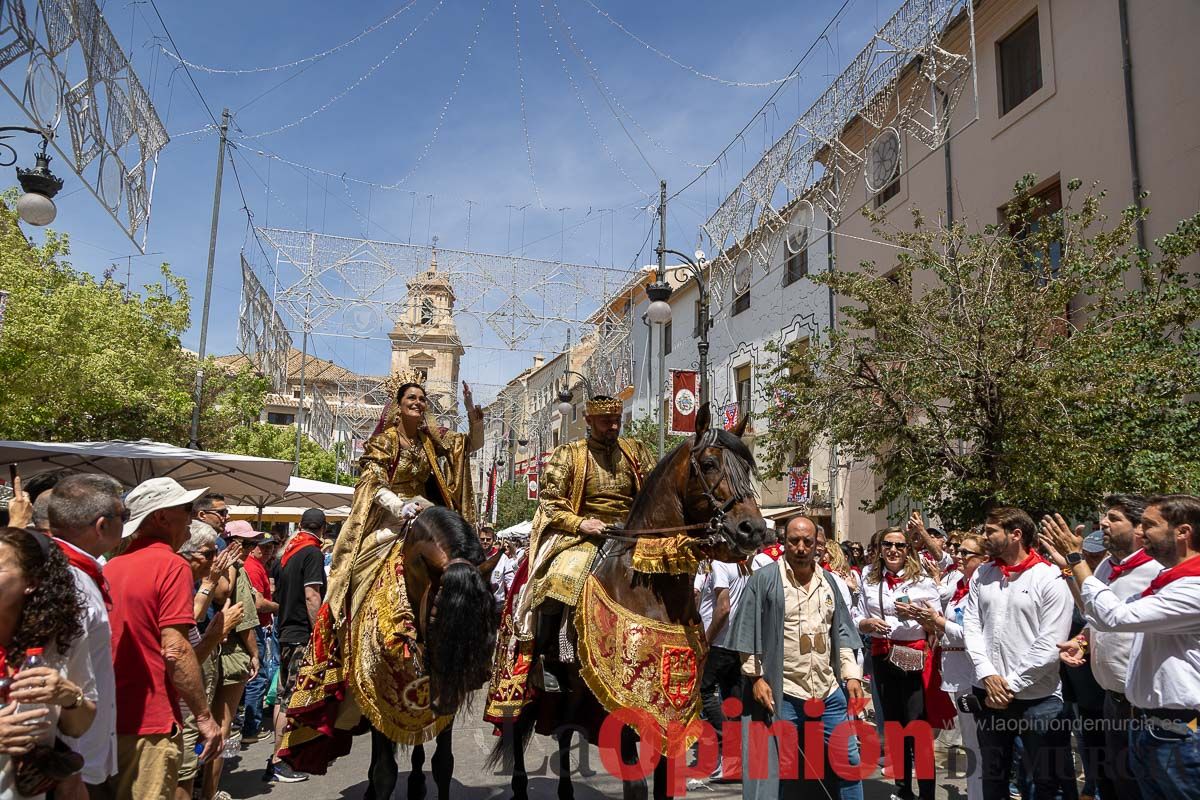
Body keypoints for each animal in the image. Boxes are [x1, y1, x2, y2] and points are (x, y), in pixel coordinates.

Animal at [357, 506, 504, 800]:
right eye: (435, 619)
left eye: (489, 618)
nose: (443, 701)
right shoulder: (376, 694)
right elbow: (384, 772)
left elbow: (443, 764)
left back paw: (416, 782)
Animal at [489, 407, 763, 800]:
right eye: (710, 464)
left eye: (747, 465)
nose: (754, 530)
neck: (651, 586)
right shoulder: (625, 709)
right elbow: (635, 785)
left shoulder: (668, 712)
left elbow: (664, 781)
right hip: (522, 683)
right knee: (517, 729)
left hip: (575, 695)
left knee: (564, 731)